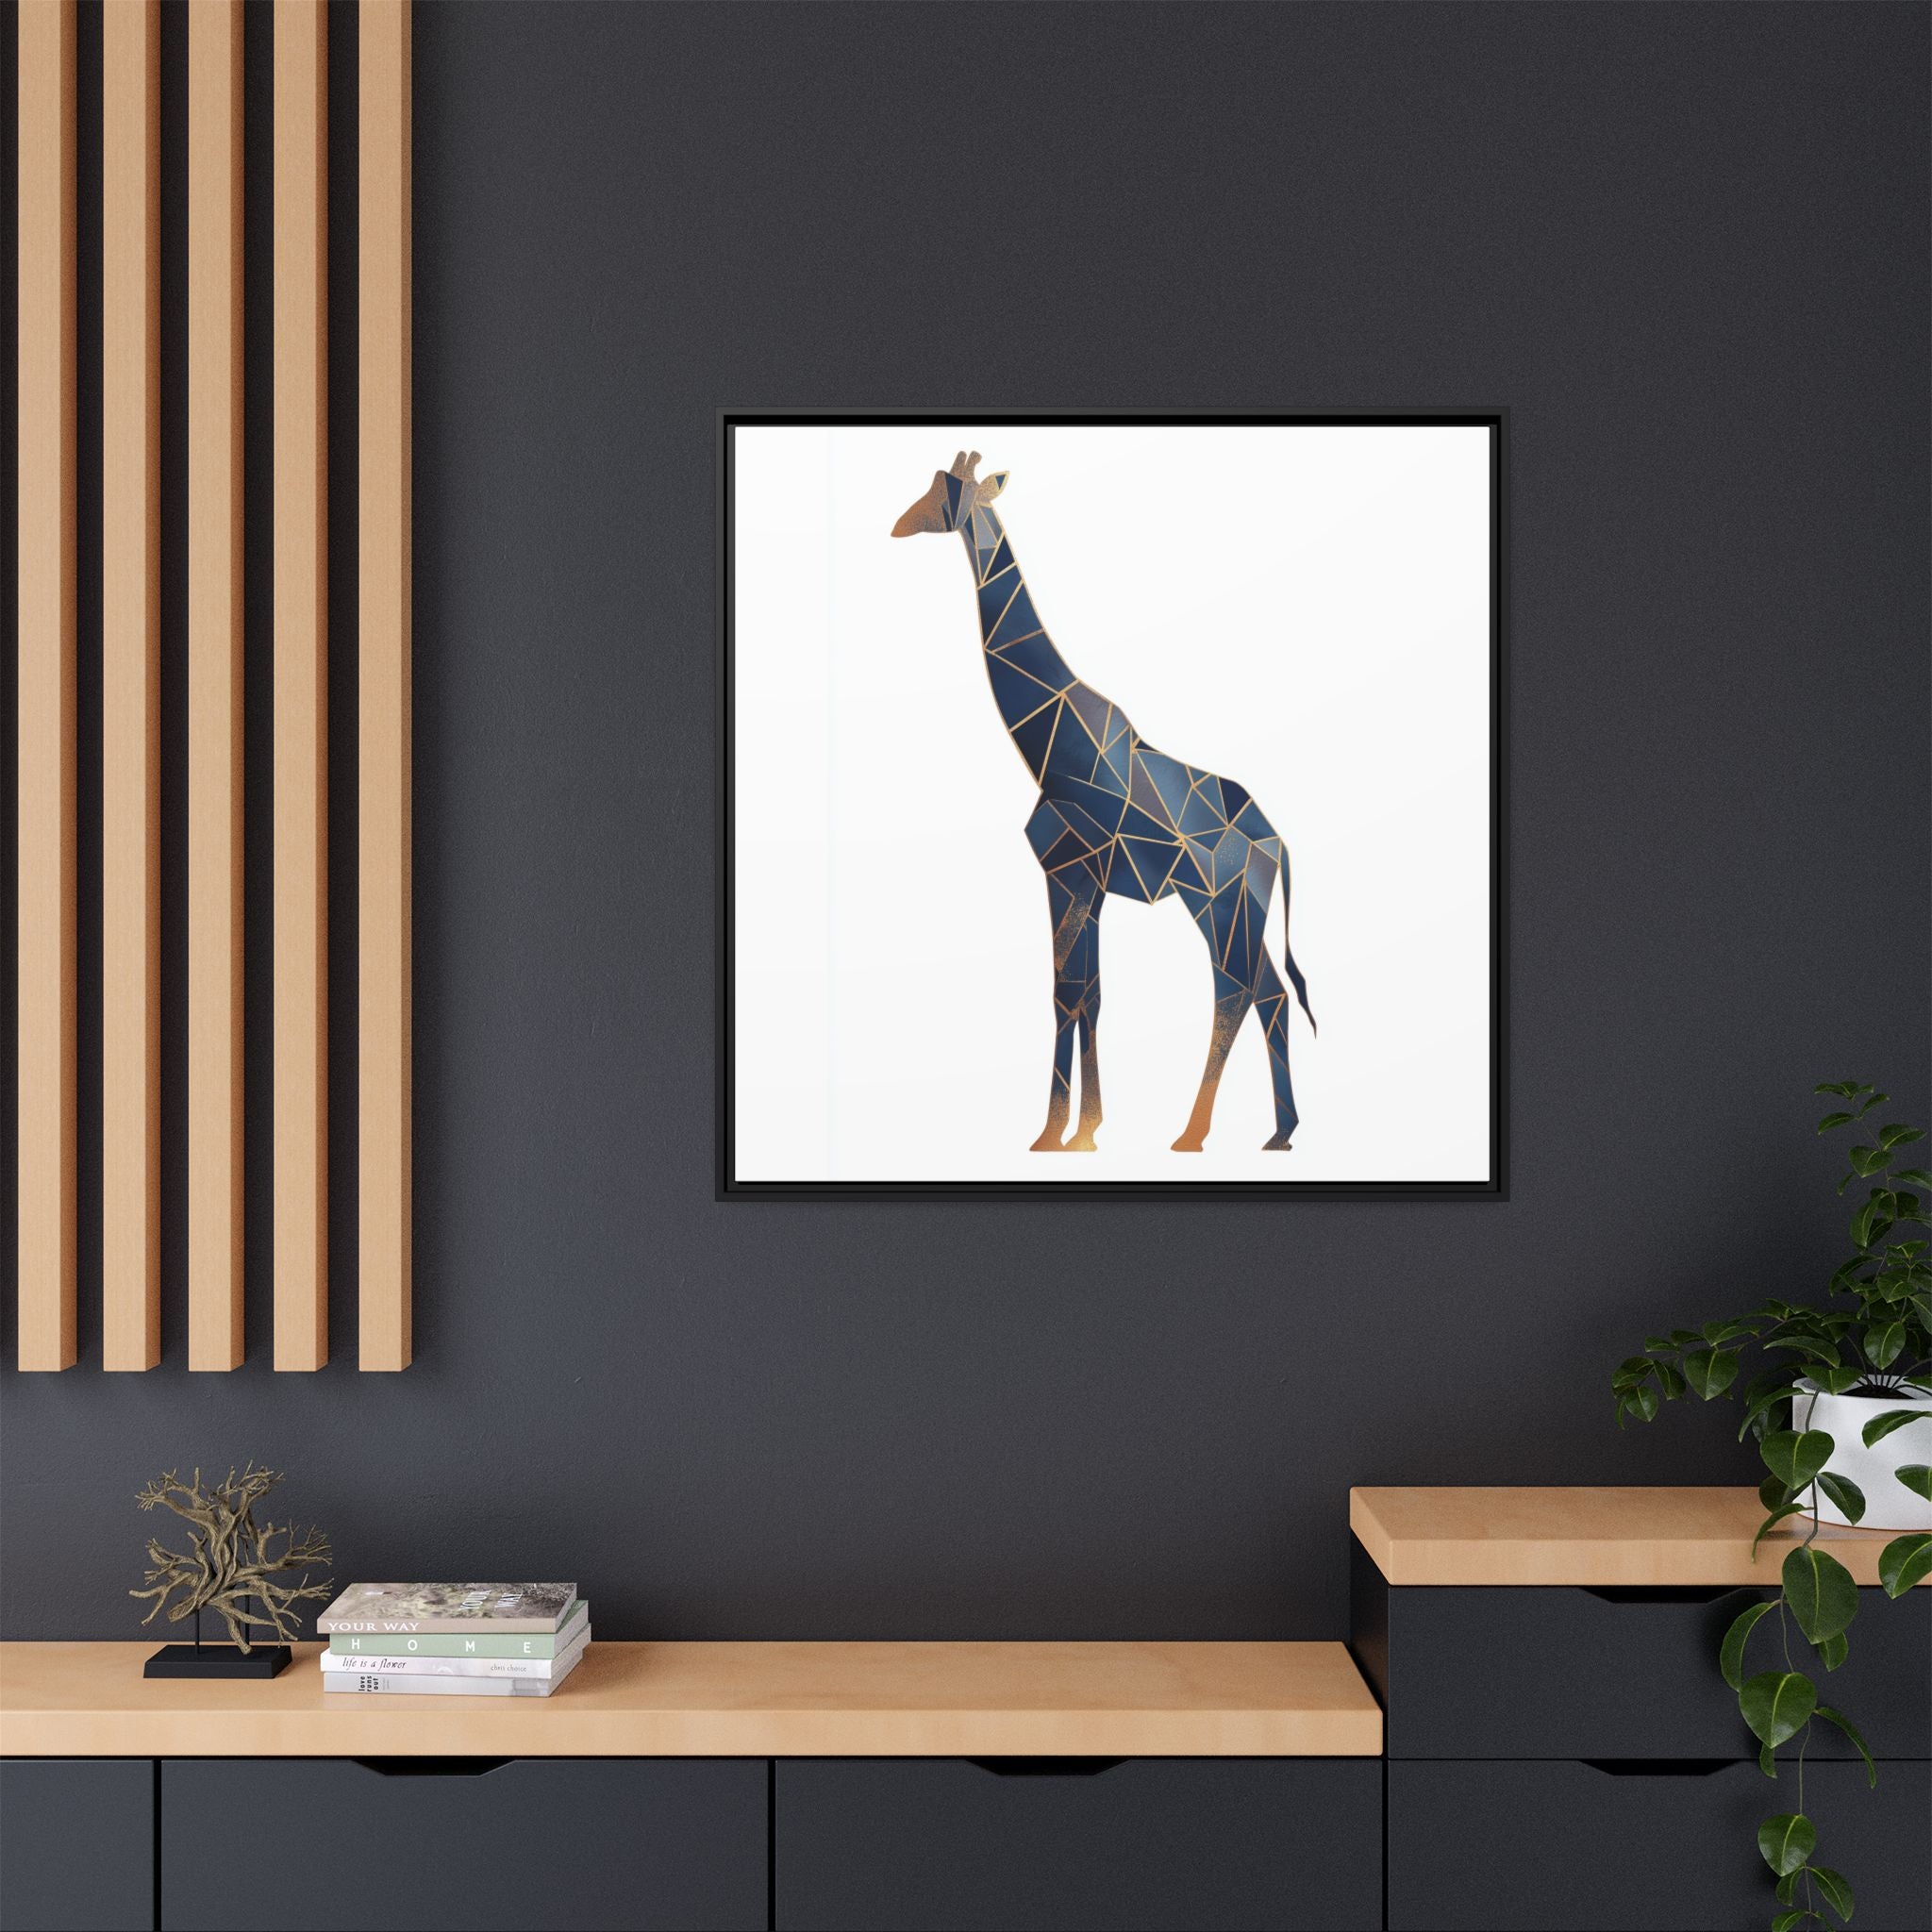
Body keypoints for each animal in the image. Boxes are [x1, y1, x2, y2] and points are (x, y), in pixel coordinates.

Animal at [893, 451, 1315, 1153]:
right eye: (930, 485)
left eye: (947, 493)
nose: (900, 524)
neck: (1049, 745)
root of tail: (1277, 844)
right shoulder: (1083, 882)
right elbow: (1086, 994)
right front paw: (1078, 1131)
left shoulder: (1068, 871)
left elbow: (1068, 994)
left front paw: (1059, 1133)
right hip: (1238, 907)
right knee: (1269, 994)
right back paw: (1279, 1133)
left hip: (1217, 901)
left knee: (1236, 991)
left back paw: (1193, 1135)